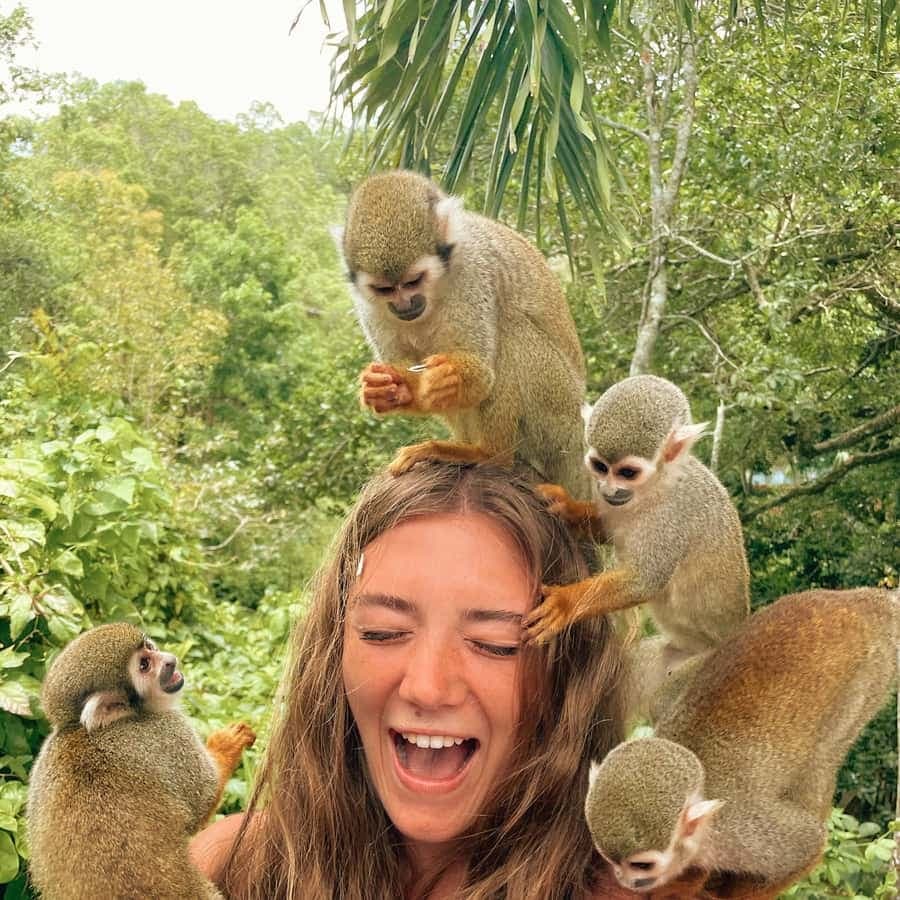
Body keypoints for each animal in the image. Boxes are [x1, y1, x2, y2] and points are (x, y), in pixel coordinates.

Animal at [27, 623, 256, 900]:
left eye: (149, 647)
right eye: (145, 665)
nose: (169, 660)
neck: (82, 729)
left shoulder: (43, 765)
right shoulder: (166, 731)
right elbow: (203, 802)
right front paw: (227, 744)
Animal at [341, 169, 591, 499]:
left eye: (413, 281)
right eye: (384, 289)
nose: (404, 305)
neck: (434, 291)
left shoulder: (473, 272)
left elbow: (482, 376)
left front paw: (452, 378)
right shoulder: (366, 304)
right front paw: (385, 389)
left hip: (559, 417)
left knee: (512, 329)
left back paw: (488, 453)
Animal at [523, 376, 749, 687]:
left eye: (627, 473)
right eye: (600, 467)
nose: (609, 490)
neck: (655, 486)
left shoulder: (673, 516)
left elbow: (645, 581)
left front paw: (566, 603)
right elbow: (606, 529)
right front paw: (568, 508)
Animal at [584, 588, 899, 898]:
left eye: (641, 865)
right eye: (610, 858)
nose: (624, 880)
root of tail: (866, 604)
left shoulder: (739, 834)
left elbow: (808, 843)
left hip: (868, 677)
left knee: (822, 758)